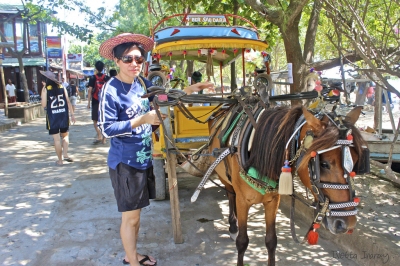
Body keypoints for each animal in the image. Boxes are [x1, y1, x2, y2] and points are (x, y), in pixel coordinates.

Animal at [208, 104, 368, 266]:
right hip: (224, 177)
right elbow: (242, 242)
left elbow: (271, 241)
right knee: (230, 195)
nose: (347, 224)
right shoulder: (243, 201)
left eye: (356, 161)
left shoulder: (272, 201)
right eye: (324, 164)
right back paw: (233, 226)